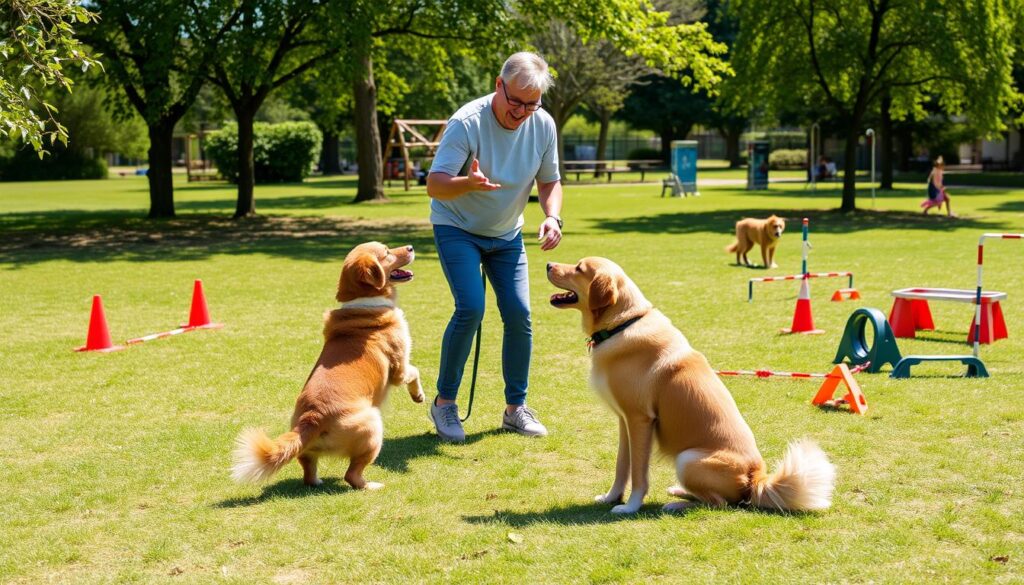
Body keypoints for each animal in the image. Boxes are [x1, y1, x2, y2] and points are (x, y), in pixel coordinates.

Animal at [233, 240, 423, 491]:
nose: (410, 247)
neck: (364, 302)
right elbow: (413, 372)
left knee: (307, 467)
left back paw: (316, 480)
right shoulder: (399, 368)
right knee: (352, 475)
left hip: (306, 444)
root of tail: (313, 417)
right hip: (373, 426)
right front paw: (418, 396)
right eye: (387, 253)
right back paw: (370, 486)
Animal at [548, 258, 835, 514]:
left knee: (719, 503)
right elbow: (622, 466)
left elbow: (639, 474)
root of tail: (756, 479)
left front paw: (629, 507)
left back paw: (677, 504)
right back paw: (679, 491)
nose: (548, 264)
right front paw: (611, 497)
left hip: (687, 458)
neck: (622, 323)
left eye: (579, 268)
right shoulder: (624, 421)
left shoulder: (640, 420)